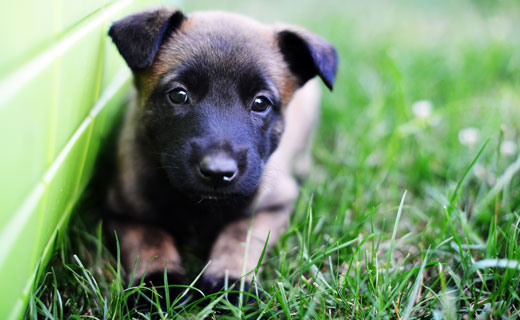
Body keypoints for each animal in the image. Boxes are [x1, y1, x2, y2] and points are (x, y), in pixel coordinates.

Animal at [107, 5, 340, 304]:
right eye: (178, 95)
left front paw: (230, 281)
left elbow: (239, 236)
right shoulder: (123, 211)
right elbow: (150, 239)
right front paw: (157, 285)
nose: (218, 173)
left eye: (261, 103)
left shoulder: (273, 205)